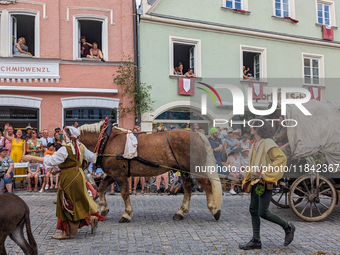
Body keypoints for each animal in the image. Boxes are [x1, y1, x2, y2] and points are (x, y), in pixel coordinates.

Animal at [77, 122, 223, 223]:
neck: (107, 141)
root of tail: (197, 134)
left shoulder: (119, 174)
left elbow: (124, 193)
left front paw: (127, 214)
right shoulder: (114, 174)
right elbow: (101, 187)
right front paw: (103, 208)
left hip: (194, 169)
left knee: (207, 186)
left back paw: (214, 209)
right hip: (184, 171)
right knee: (188, 187)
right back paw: (180, 212)